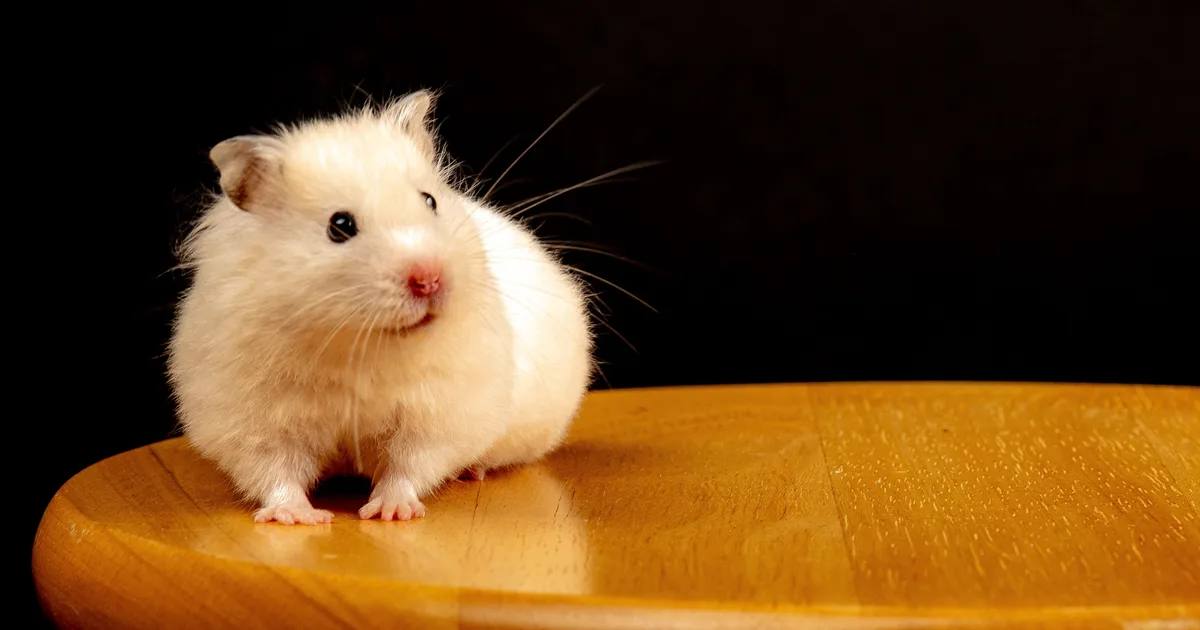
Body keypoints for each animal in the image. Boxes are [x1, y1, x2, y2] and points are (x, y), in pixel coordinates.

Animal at [167, 90, 594, 524]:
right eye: (340, 226)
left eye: (430, 201)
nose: (430, 279)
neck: (359, 343)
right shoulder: (253, 419)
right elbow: (274, 471)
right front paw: (299, 517)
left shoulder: (437, 413)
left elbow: (409, 465)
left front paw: (390, 512)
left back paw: (473, 471)